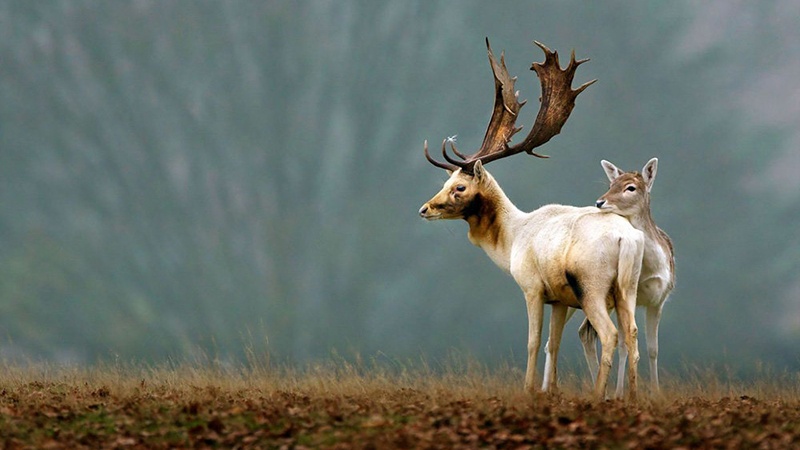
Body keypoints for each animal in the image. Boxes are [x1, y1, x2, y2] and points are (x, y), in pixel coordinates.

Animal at [418, 37, 644, 398]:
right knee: (633, 335)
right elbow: (554, 343)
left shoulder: (532, 286)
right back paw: (632, 397)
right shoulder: (560, 299)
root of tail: (627, 238)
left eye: (459, 187)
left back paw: (597, 395)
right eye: (445, 182)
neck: (512, 240)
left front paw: (528, 389)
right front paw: (549, 390)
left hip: (592, 285)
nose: (424, 208)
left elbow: (533, 342)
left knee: (609, 334)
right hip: (628, 287)